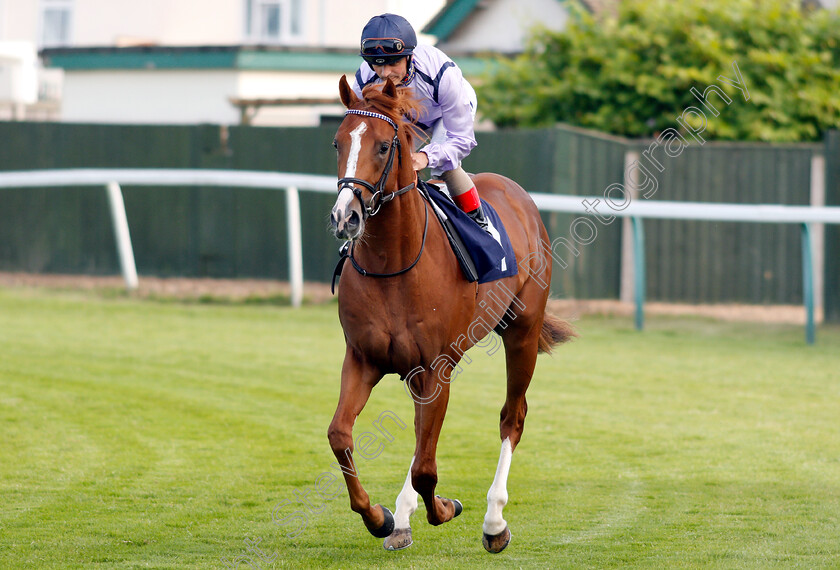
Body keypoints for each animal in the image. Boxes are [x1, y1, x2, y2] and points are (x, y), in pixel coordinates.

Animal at [324, 75, 576, 552]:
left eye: (383, 146)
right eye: (337, 142)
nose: (345, 217)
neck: (394, 264)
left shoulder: (435, 365)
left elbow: (426, 466)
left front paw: (444, 508)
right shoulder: (363, 359)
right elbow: (341, 436)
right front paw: (380, 517)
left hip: (522, 331)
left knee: (512, 418)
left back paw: (494, 521)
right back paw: (403, 517)